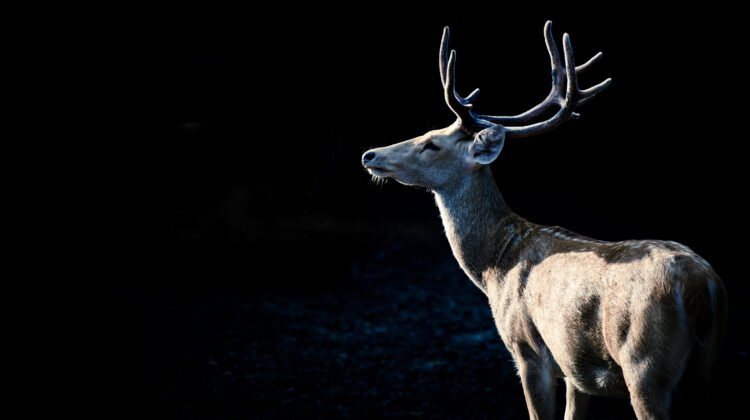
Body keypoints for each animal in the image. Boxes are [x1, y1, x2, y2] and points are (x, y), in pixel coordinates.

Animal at [361, 22, 727, 420]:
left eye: (431, 144)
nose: (370, 154)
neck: (495, 265)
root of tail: (701, 286)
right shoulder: (576, 369)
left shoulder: (529, 349)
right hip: (708, 368)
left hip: (645, 364)